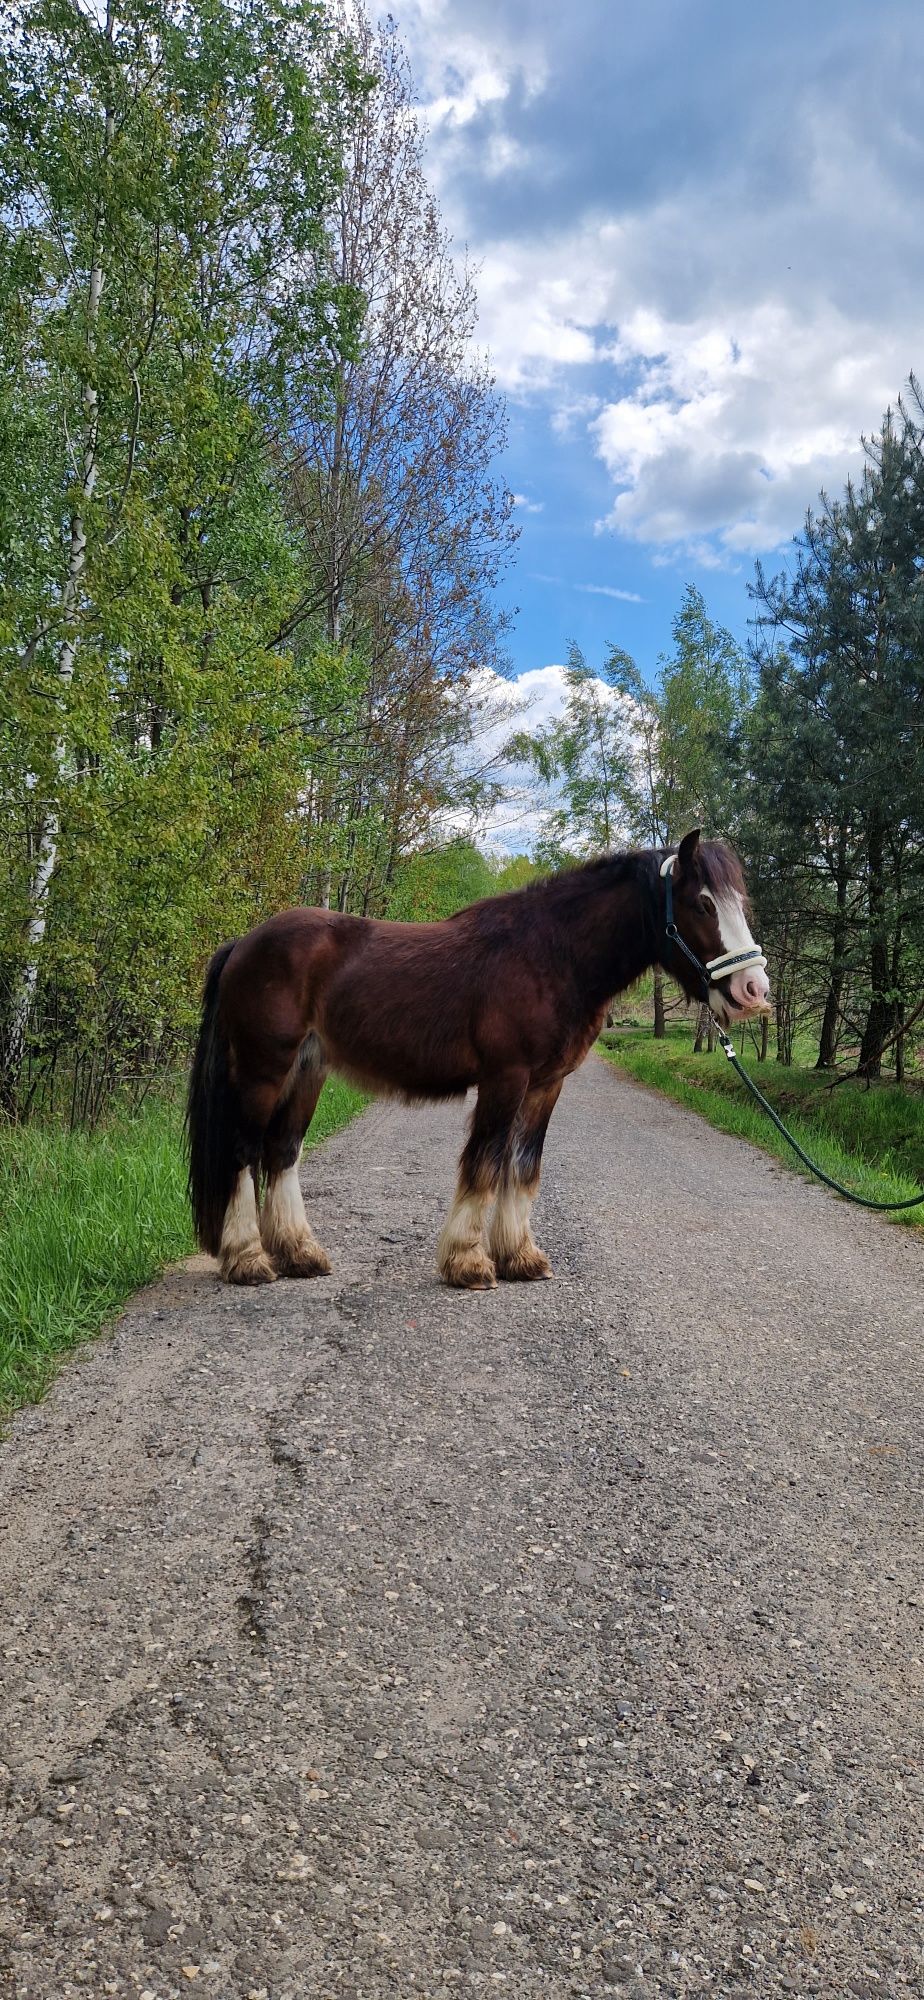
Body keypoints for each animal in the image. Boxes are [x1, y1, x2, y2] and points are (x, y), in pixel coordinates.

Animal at [184, 832, 768, 1288]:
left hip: (306, 1071)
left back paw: (300, 1254)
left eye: (742, 901)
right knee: (243, 1152)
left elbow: (523, 1167)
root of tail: (243, 944)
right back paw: (248, 1259)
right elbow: (485, 1163)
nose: (753, 990)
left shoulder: (545, 1085)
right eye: (702, 903)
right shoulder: (505, 1078)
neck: (551, 956)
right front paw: (468, 1261)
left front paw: (520, 1257)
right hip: (263, 1071)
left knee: (281, 1151)